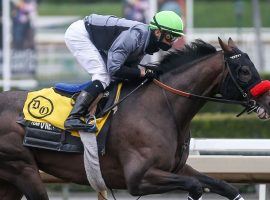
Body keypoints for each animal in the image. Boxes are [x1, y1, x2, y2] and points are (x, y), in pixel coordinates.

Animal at [0, 38, 270, 200]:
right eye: (244, 71)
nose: (268, 102)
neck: (162, 107)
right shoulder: (138, 177)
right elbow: (194, 186)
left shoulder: (177, 167)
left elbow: (225, 186)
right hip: (22, 168)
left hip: (11, 180)